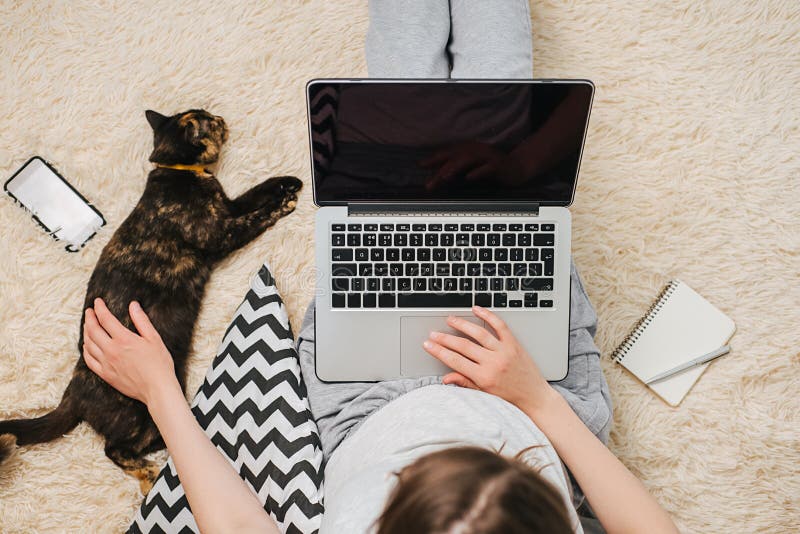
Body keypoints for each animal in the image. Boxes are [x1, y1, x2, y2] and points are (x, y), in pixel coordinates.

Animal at [0, 109, 300, 494]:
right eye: (208, 120)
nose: (220, 117)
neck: (182, 172)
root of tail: (73, 391)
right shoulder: (218, 234)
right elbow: (254, 218)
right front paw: (283, 205)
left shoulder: (227, 205)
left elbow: (255, 191)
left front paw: (288, 182)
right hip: (138, 414)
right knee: (115, 449)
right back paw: (146, 474)